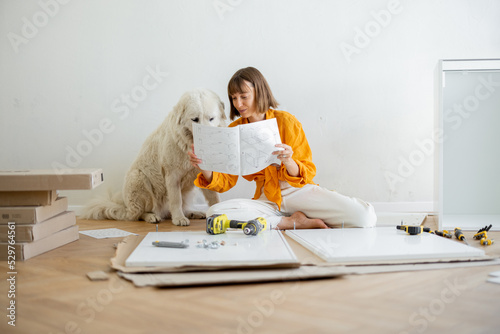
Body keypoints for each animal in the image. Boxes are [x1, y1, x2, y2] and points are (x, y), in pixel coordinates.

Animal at [81, 87, 226, 226]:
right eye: (195, 119)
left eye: (211, 118)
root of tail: (125, 208)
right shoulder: (172, 175)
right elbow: (176, 200)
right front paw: (178, 219)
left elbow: (214, 197)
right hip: (139, 178)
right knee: (138, 214)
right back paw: (152, 216)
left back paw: (192, 213)